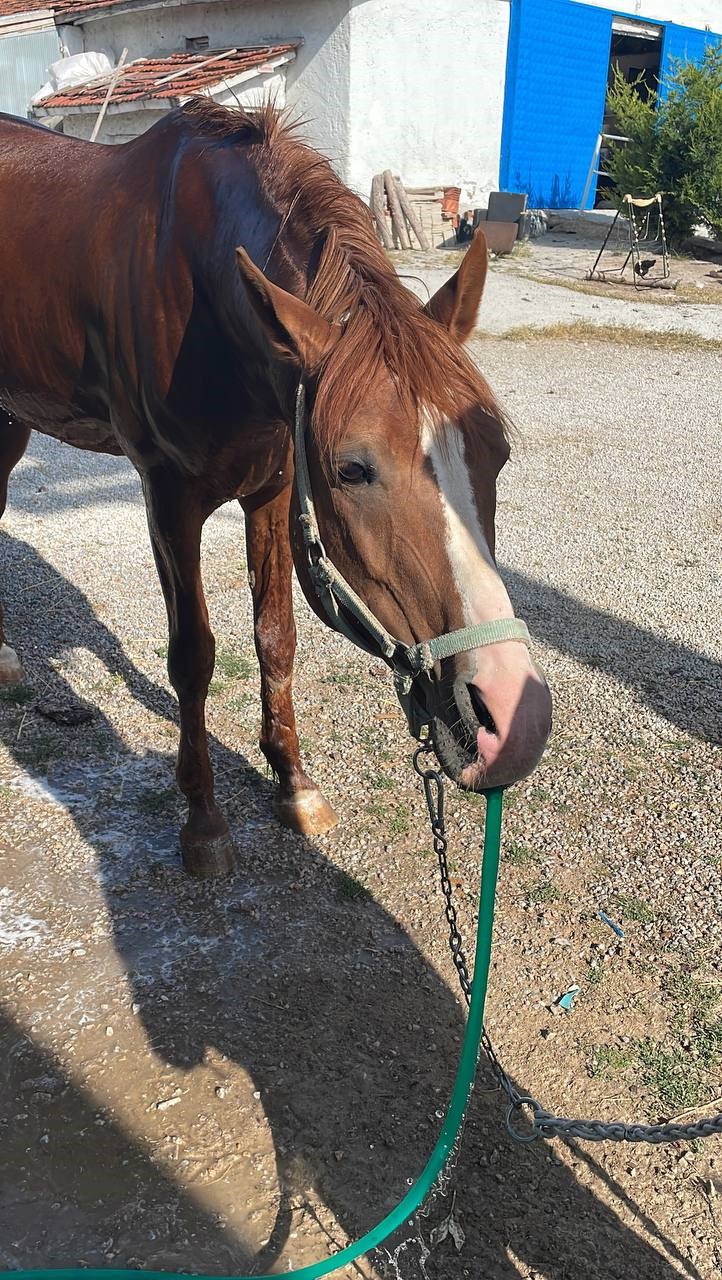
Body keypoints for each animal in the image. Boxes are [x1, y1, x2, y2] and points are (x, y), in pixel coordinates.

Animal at [0, 104, 550, 875]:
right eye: (352, 468)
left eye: (495, 454)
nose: (515, 715)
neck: (198, 286)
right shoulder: (169, 502)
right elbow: (193, 657)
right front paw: (203, 821)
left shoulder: (274, 491)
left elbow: (276, 639)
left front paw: (294, 784)